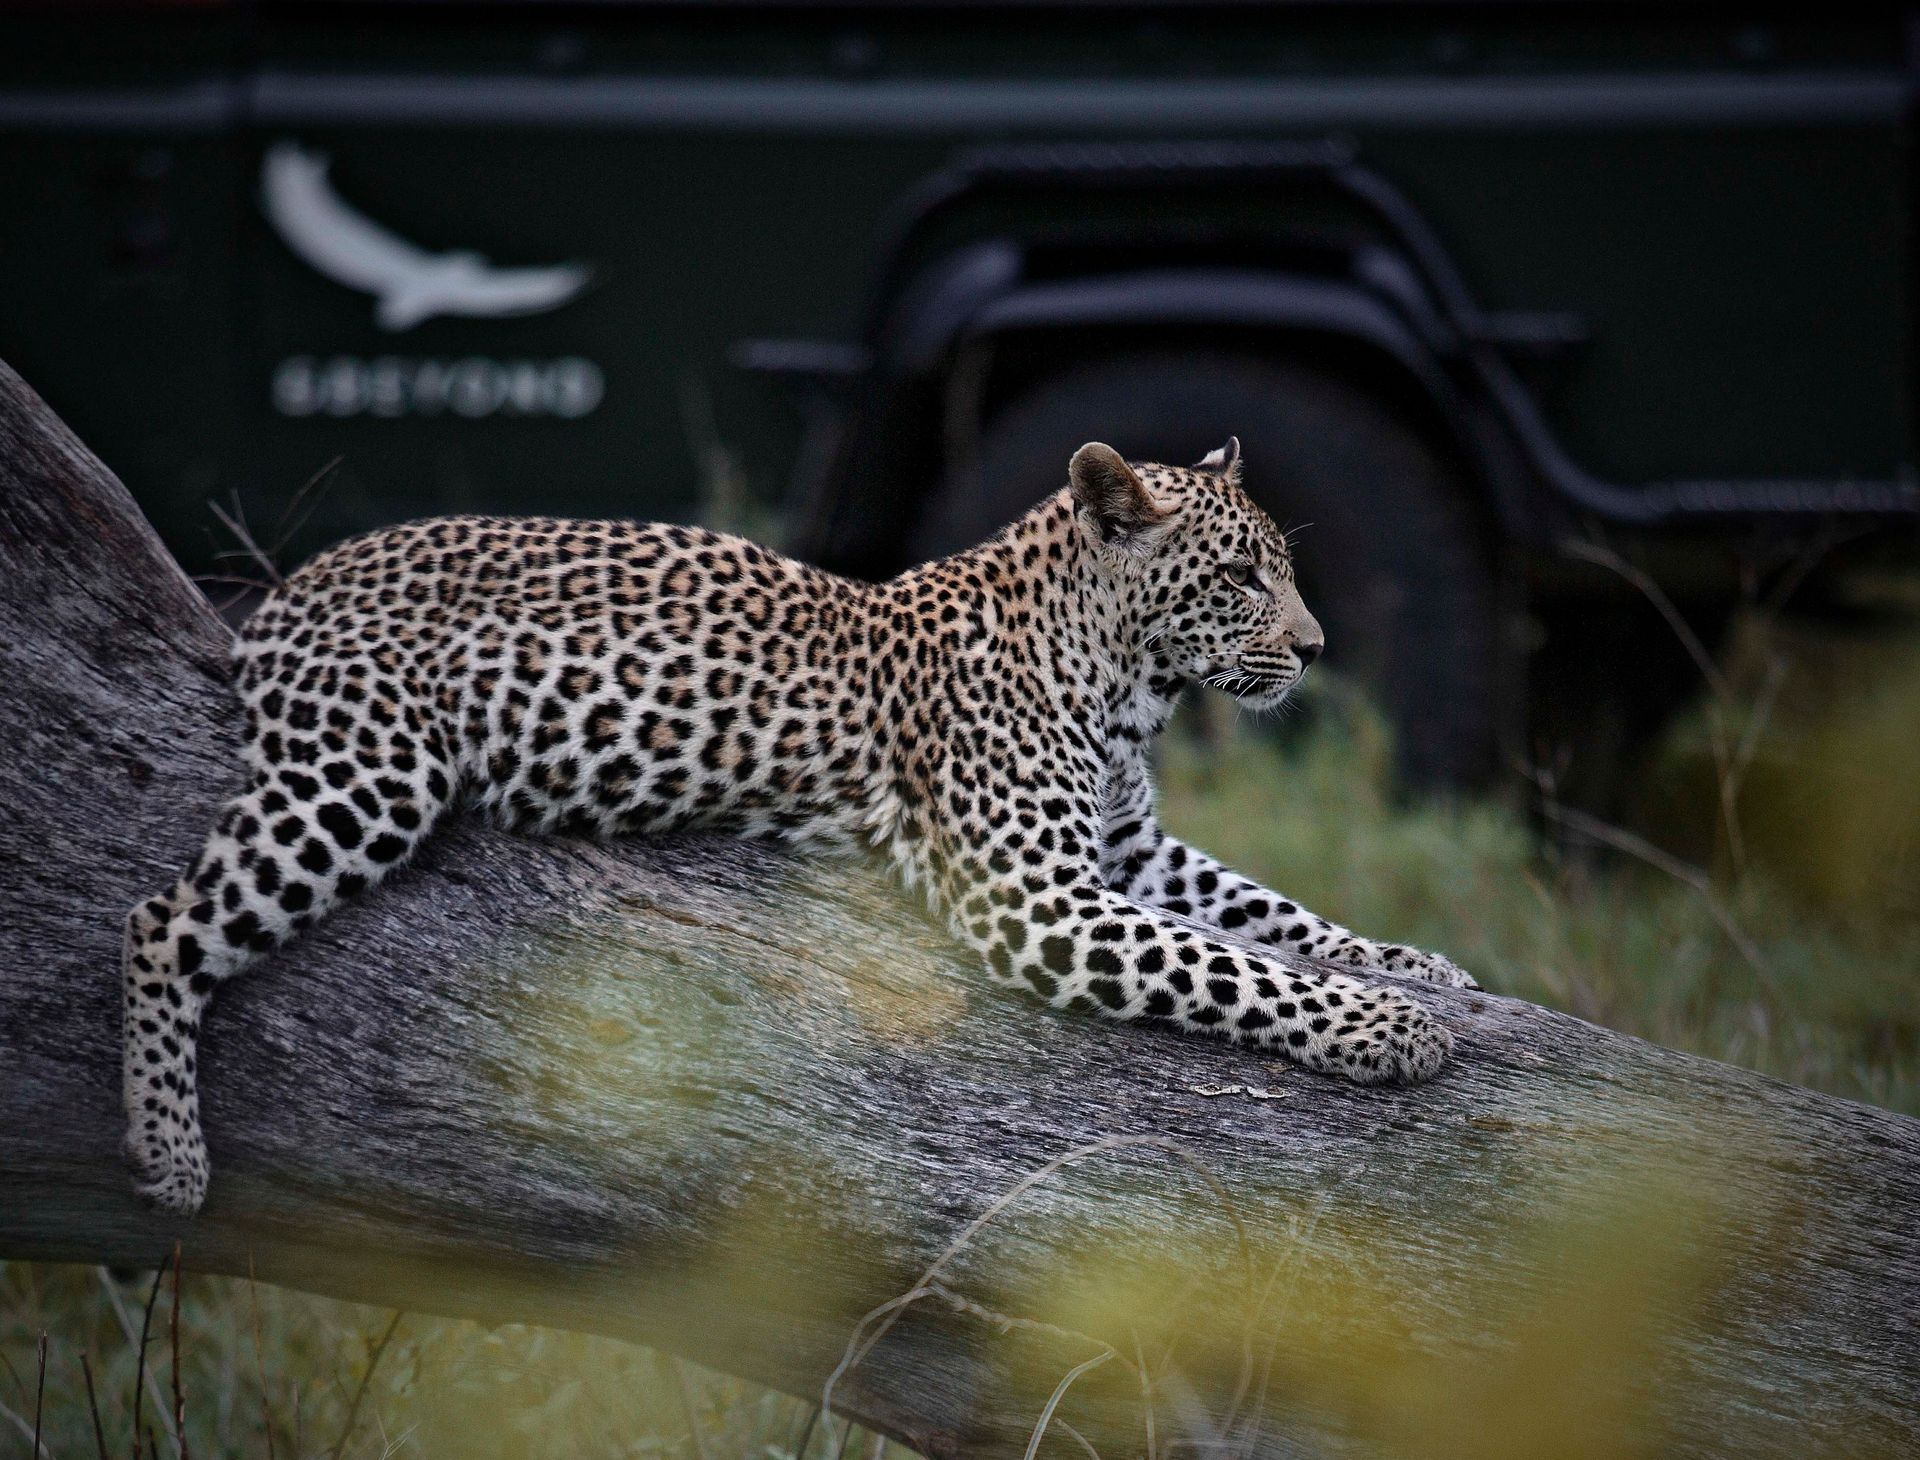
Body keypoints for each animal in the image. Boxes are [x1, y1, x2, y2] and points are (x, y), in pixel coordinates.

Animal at [122, 436, 1476, 1214]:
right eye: (1241, 576)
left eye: (1280, 569)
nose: (1317, 648)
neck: (1123, 688)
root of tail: (291, 587)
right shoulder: (1036, 895)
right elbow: (1234, 965)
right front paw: (1389, 1028)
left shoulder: (1128, 850)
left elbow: (1271, 911)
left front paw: (1424, 967)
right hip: (367, 775)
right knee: (158, 918)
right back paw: (167, 1157)